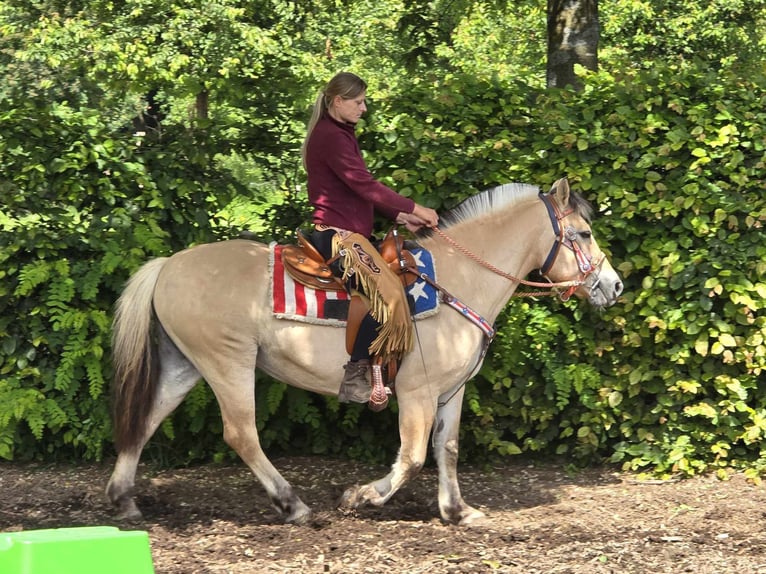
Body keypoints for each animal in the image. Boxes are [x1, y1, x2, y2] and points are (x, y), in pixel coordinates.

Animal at [106, 178, 624, 528]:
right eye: (582, 234)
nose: (614, 285)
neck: (459, 280)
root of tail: (168, 265)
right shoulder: (416, 391)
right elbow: (412, 456)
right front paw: (362, 498)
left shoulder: (451, 391)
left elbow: (448, 448)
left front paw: (457, 510)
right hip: (227, 363)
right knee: (241, 434)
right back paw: (293, 504)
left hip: (185, 364)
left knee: (147, 419)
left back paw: (123, 498)